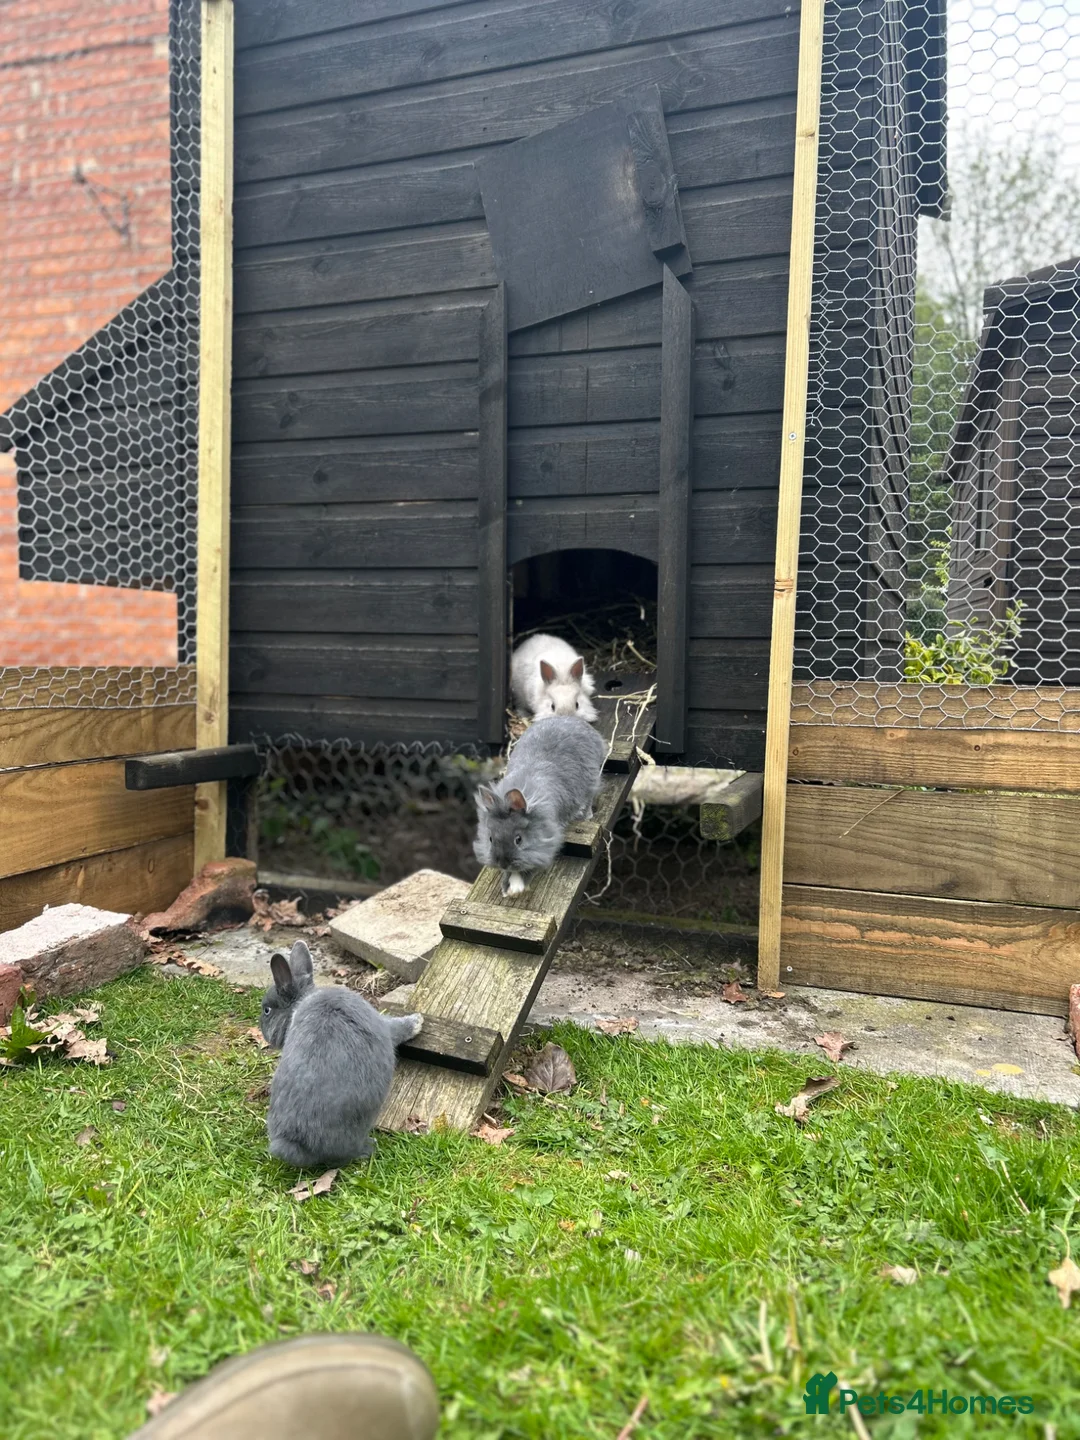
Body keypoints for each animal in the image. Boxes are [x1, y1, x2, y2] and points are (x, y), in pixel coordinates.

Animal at [259, 940, 424, 1168]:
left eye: (267, 1011)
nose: (263, 1032)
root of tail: (297, 1143)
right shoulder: (383, 1025)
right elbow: (398, 1028)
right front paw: (418, 1021)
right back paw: (369, 1146)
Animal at [474, 715, 607, 896]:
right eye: (490, 839)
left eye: (519, 839)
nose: (503, 863)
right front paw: (506, 887)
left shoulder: (546, 844)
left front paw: (517, 887)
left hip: (591, 780)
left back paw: (586, 815)